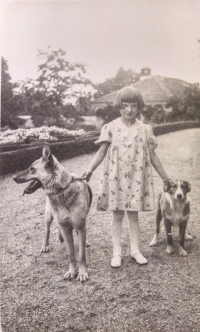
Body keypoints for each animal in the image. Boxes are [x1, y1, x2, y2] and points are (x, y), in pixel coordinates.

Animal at [12, 144, 92, 282]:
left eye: (31, 169)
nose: (14, 178)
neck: (62, 190)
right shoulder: (65, 228)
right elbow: (71, 254)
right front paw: (72, 271)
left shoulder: (80, 227)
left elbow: (81, 255)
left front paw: (82, 272)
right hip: (49, 216)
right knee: (47, 230)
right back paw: (45, 245)